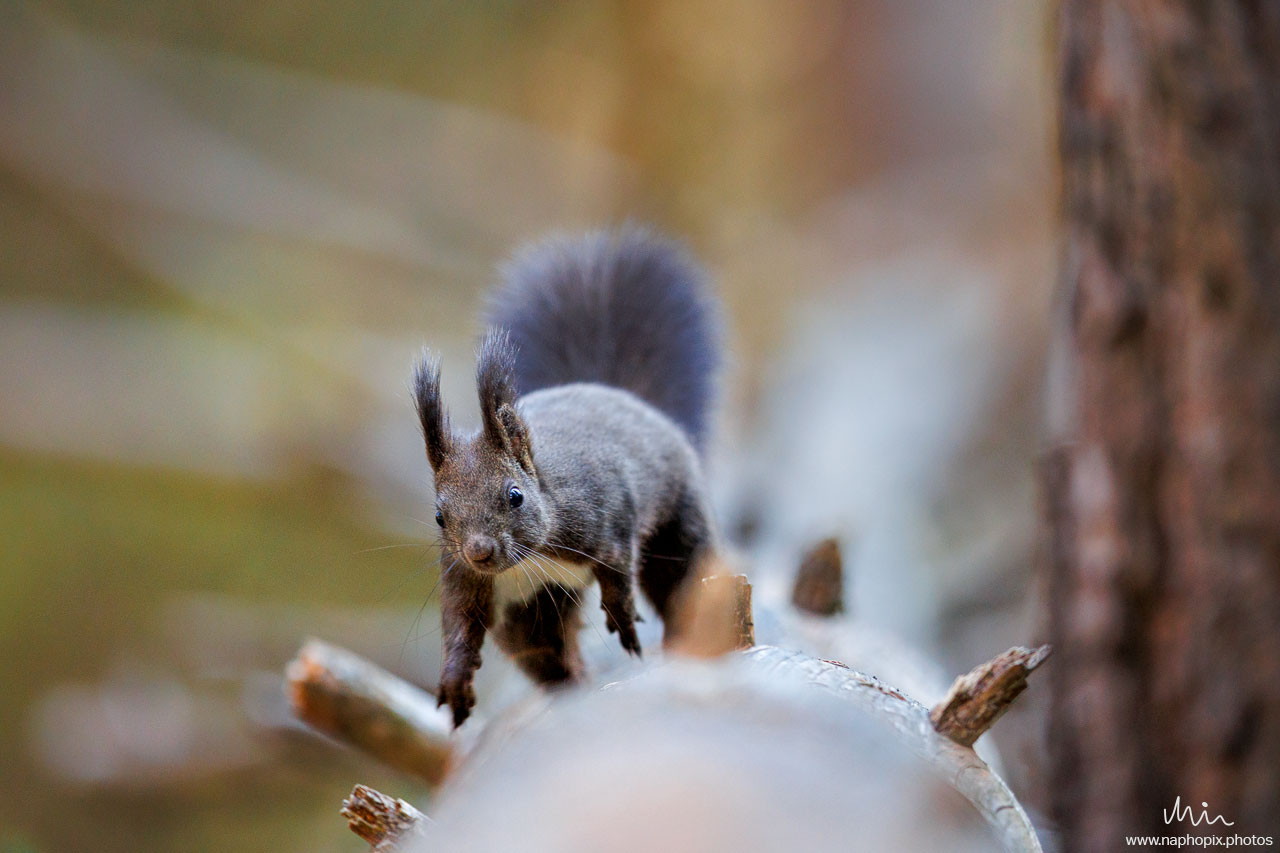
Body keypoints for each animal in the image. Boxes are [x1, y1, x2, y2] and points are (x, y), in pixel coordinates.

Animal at [417, 224, 727, 722]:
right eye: (440, 517)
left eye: (515, 496)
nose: (479, 551)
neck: (534, 554)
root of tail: (612, 391)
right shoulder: (462, 576)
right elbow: (460, 625)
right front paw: (455, 681)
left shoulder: (608, 513)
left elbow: (618, 571)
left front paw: (623, 620)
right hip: (531, 608)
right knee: (547, 650)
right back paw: (574, 690)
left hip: (677, 520)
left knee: (681, 579)